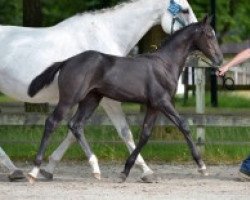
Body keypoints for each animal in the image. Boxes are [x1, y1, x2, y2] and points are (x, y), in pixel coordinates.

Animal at [26, 16, 223, 182]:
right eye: (209, 35)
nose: (219, 60)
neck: (165, 64)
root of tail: (67, 61)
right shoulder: (162, 101)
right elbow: (184, 125)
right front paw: (202, 166)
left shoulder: (153, 106)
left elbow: (145, 134)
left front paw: (127, 171)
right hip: (69, 99)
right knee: (52, 122)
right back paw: (34, 171)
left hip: (91, 99)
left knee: (76, 125)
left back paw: (95, 169)